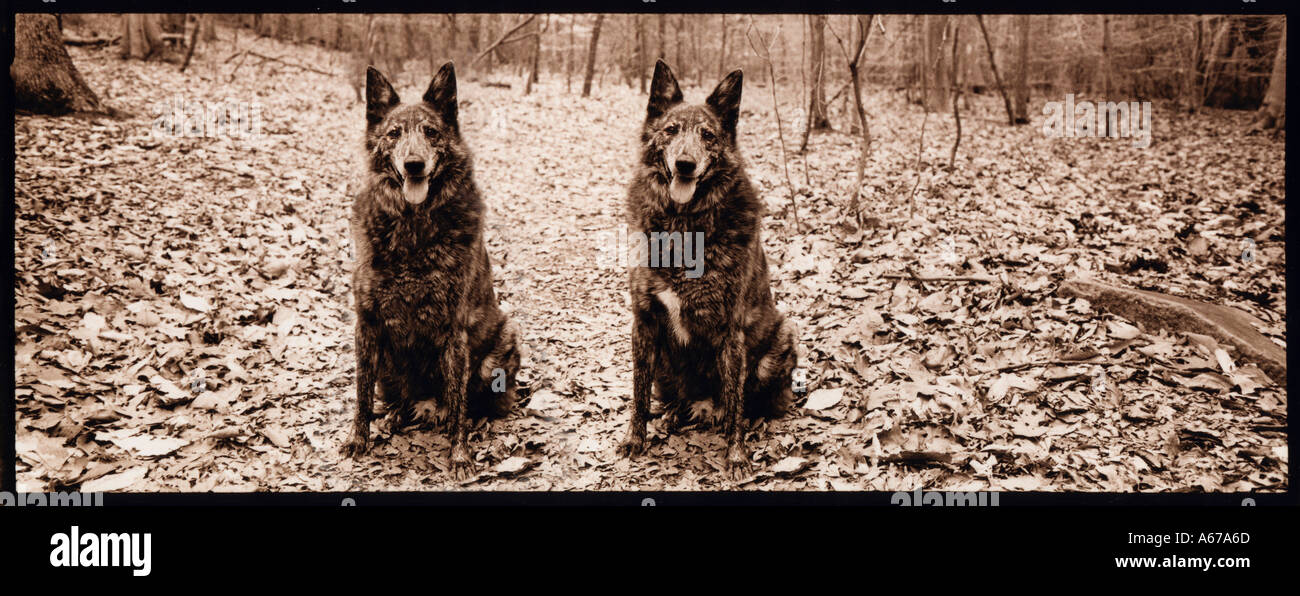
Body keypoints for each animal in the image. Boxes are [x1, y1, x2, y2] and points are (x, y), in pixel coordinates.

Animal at [343, 61, 520, 478]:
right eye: (394, 134)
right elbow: (361, 394)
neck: (413, 227)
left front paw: (459, 455)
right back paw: (395, 416)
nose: (413, 165)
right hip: (388, 366)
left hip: (499, 347)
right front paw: (359, 439)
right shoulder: (367, 325)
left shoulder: (454, 331)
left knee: (473, 402)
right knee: (401, 399)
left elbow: (457, 402)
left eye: (431, 132)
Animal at [613, 59, 795, 478]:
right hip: (664, 362)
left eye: (708, 135)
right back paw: (674, 415)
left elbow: (735, 403)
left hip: (779, 340)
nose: (685, 164)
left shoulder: (730, 331)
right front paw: (635, 439)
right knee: (676, 397)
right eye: (671, 130)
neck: (683, 226)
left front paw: (737, 455)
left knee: (747, 402)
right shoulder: (644, 322)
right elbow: (638, 393)